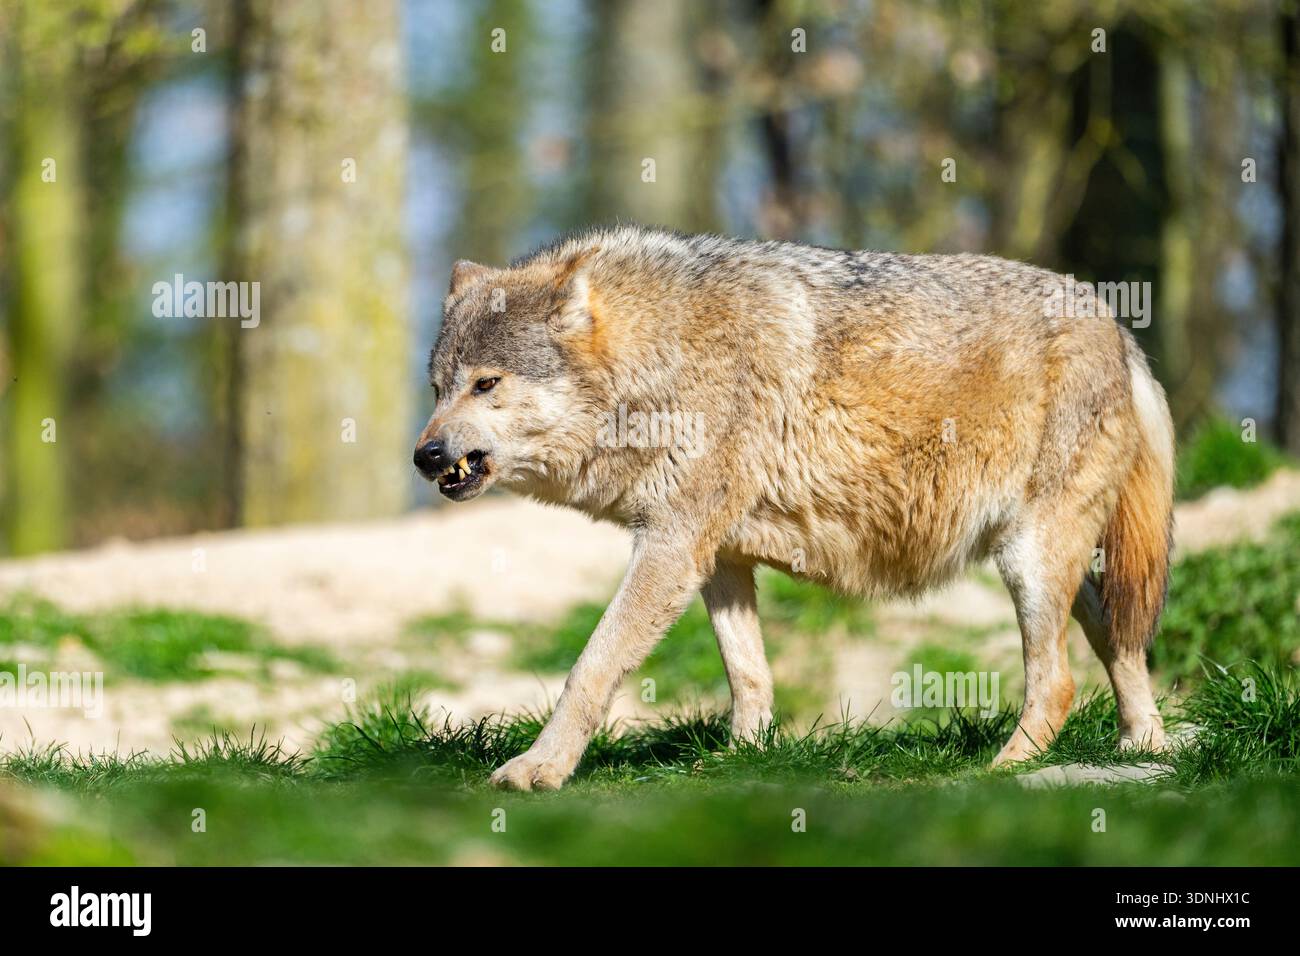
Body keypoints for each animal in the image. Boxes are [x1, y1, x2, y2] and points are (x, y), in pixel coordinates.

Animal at [414, 226, 1174, 791]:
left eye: (486, 385)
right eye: (437, 389)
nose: (425, 455)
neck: (663, 359)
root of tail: (1117, 322)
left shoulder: (670, 545)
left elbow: (592, 664)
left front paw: (539, 768)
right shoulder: (715, 557)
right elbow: (749, 675)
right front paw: (741, 759)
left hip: (1029, 562)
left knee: (1059, 682)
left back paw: (1005, 770)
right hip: (1057, 567)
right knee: (1121, 638)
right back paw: (1148, 747)